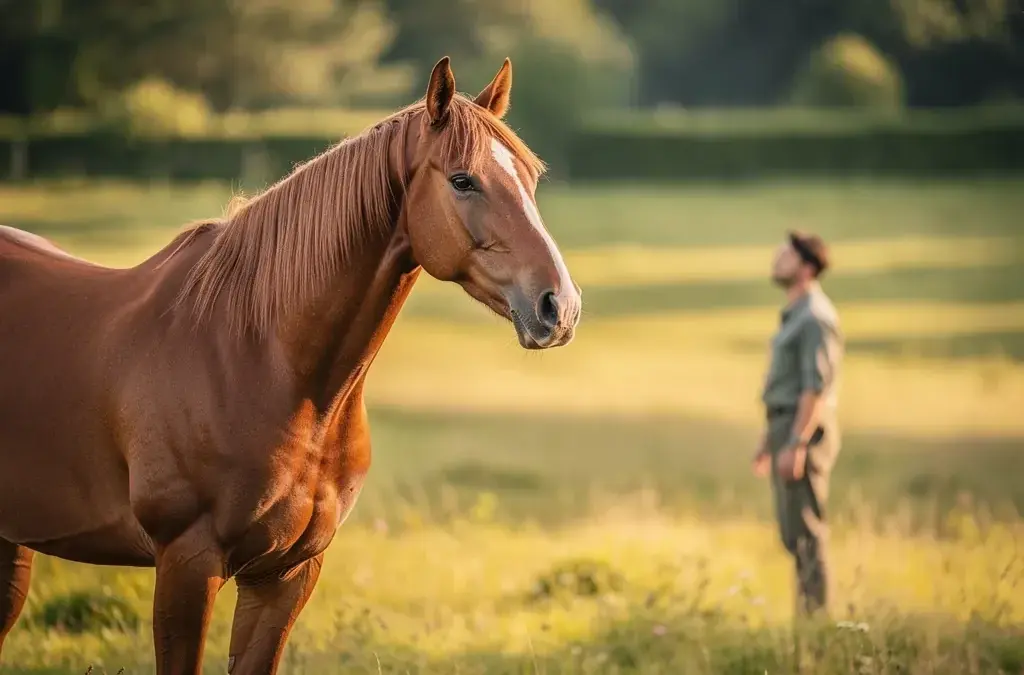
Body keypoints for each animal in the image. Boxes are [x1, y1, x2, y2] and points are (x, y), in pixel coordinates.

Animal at [0, 56, 581, 674]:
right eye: (463, 180)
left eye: (530, 179)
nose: (560, 306)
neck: (258, 361)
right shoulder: (187, 563)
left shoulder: (287, 573)